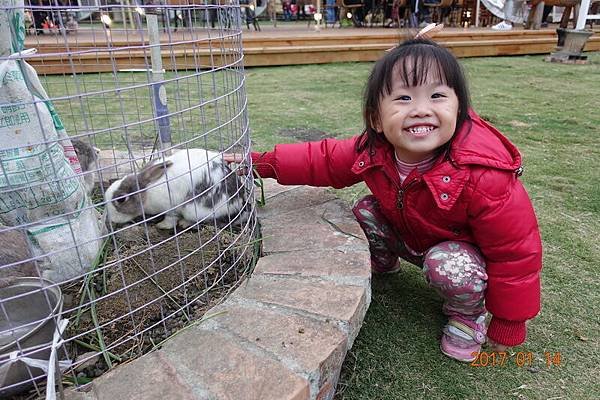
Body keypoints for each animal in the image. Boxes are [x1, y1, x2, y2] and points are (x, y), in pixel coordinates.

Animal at [104, 148, 250, 230]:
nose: (112, 220)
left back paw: (184, 223)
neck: (147, 190)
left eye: (121, 199)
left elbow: (170, 219)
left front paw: (162, 226)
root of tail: (240, 206)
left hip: (194, 210)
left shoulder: (171, 207)